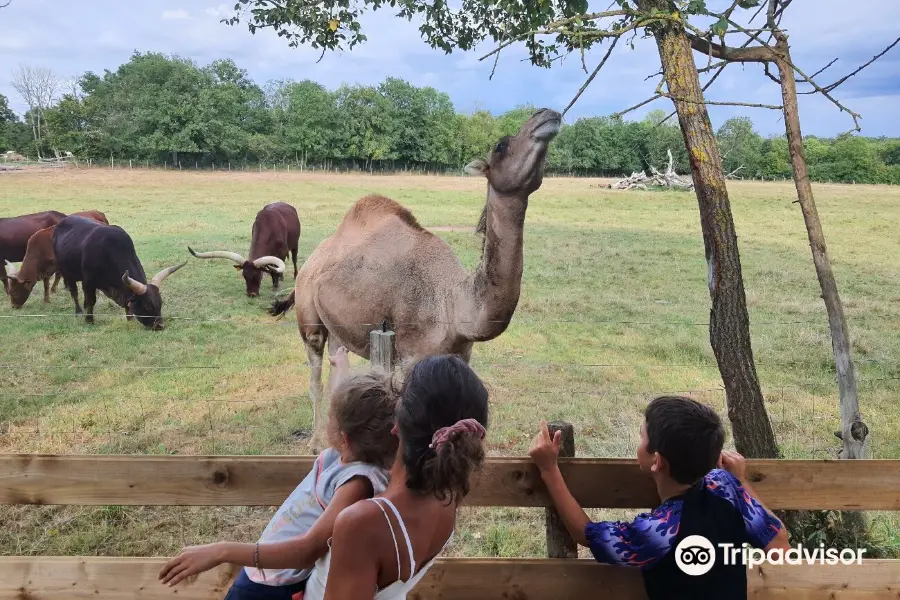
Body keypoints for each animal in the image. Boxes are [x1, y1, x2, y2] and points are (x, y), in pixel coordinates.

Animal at [52, 214, 185, 328]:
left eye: (160, 303)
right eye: (147, 305)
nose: (159, 325)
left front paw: (130, 319)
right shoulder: (88, 282)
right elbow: (91, 301)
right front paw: (89, 320)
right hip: (67, 273)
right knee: (74, 293)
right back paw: (79, 311)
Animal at [270, 106, 560, 450]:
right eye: (501, 145)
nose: (547, 114)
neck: (453, 304)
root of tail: (312, 262)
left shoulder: (460, 355)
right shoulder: (408, 357)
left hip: (339, 325)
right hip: (309, 315)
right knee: (314, 372)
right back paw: (315, 443)